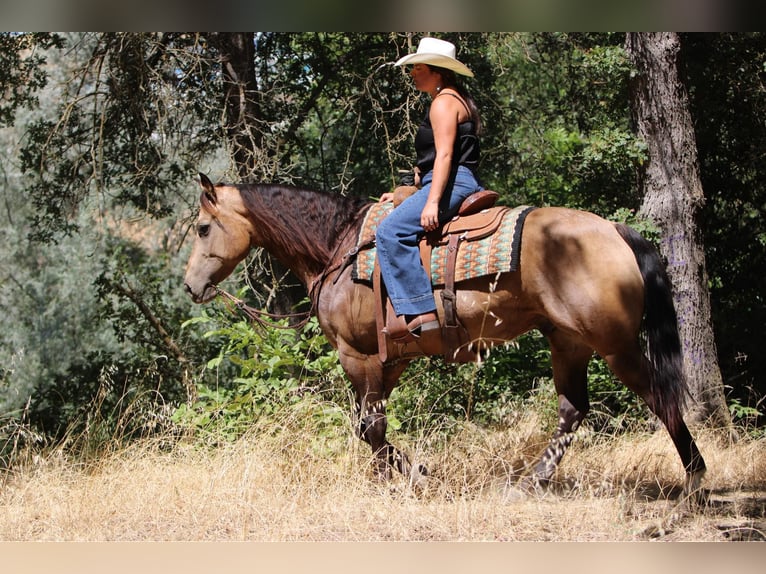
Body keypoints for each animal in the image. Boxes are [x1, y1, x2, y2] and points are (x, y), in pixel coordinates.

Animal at [184, 173, 708, 498]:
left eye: (204, 228)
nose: (190, 286)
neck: (338, 248)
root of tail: (617, 231)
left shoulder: (358, 355)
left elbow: (370, 426)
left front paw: (405, 478)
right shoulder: (389, 361)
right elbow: (369, 426)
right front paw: (406, 472)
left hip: (614, 345)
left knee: (659, 398)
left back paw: (696, 480)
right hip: (568, 342)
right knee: (573, 409)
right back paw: (529, 483)